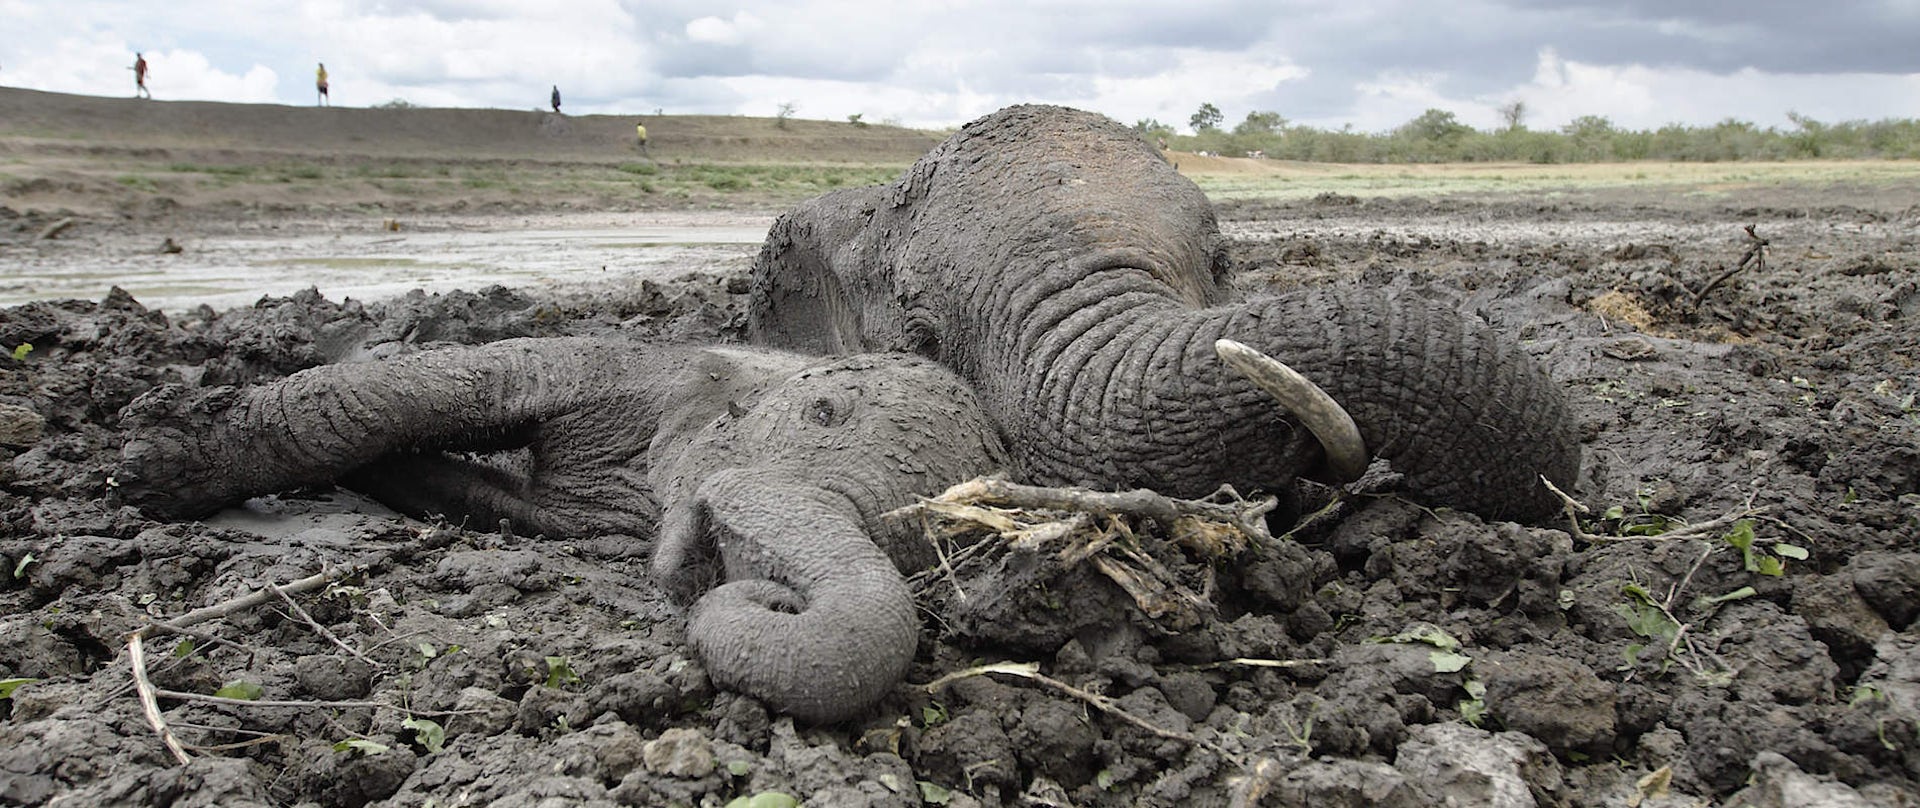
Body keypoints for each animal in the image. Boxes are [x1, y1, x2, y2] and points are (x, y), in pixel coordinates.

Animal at [116, 338, 1010, 723]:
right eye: (826, 411)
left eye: (913, 548)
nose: (773, 596)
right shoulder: (625, 371)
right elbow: (404, 395)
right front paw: (149, 466)